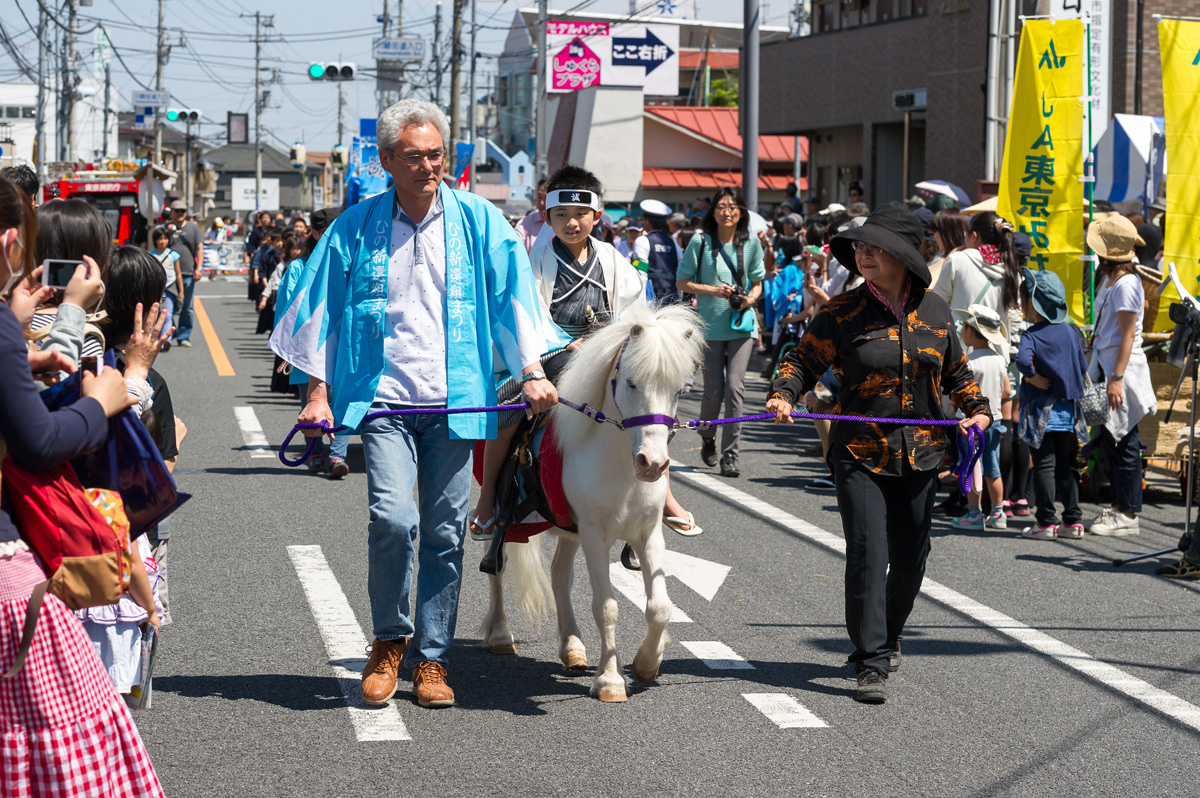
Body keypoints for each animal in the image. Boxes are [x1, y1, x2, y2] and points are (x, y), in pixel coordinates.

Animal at [477, 302, 700, 700]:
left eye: (678, 390)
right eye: (631, 383)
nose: (653, 463)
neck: (622, 469)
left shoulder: (647, 532)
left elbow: (660, 607)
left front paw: (647, 662)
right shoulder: (595, 533)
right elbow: (606, 607)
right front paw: (610, 680)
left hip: (569, 528)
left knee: (559, 576)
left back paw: (573, 648)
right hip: (505, 514)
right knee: (497, 566)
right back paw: (501, 633)